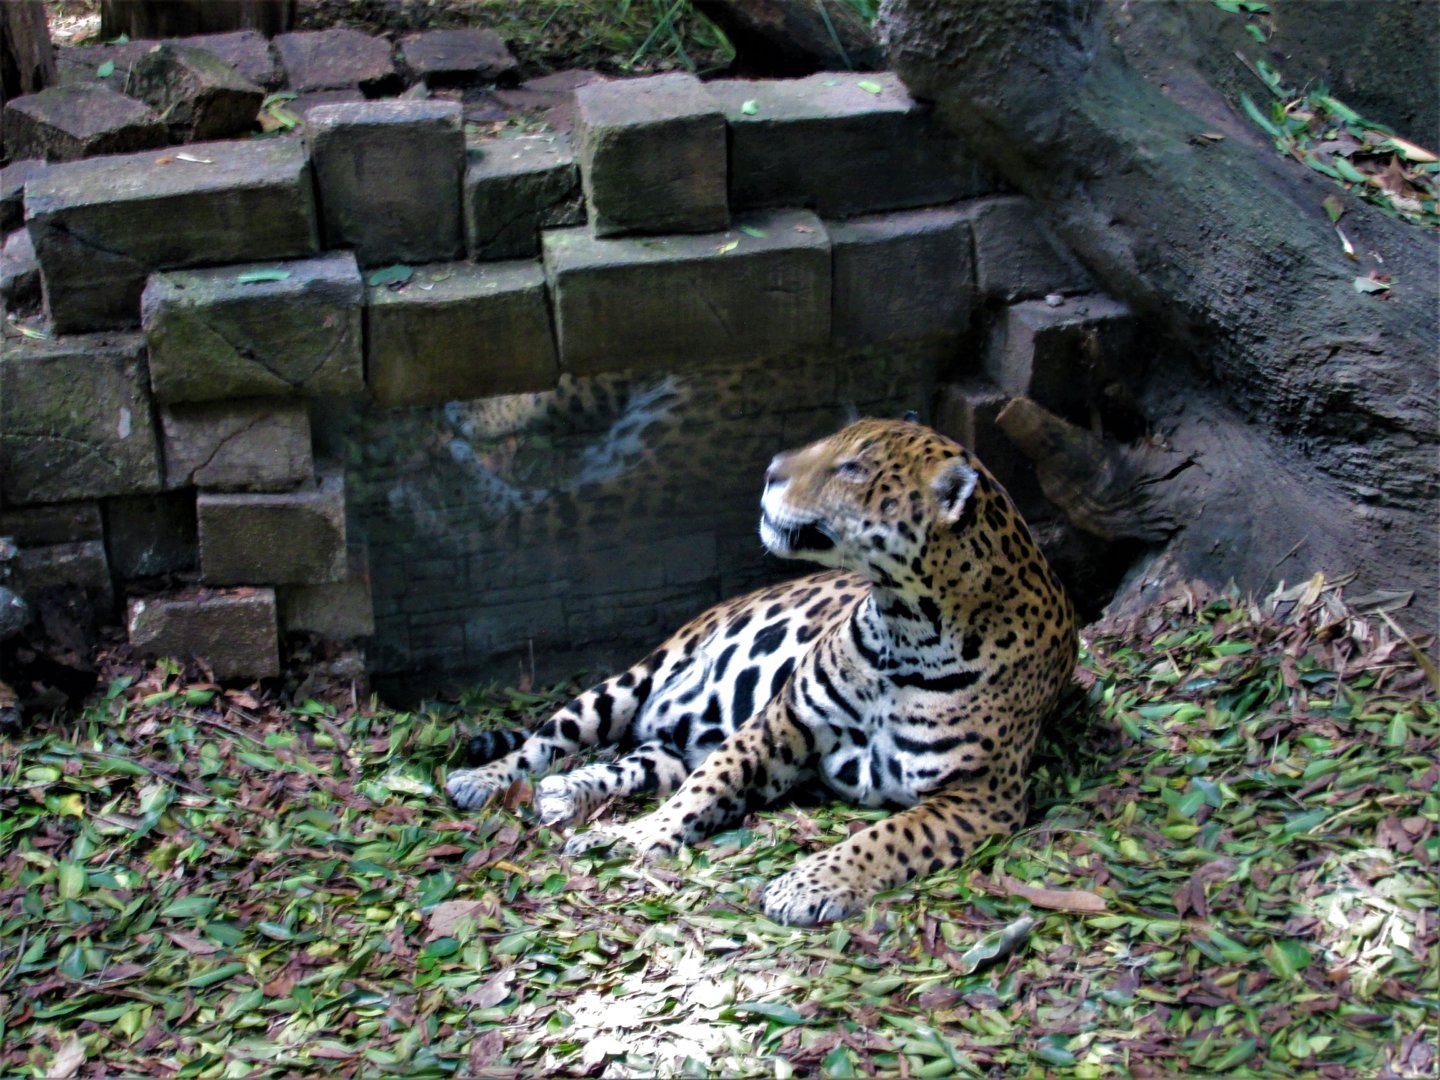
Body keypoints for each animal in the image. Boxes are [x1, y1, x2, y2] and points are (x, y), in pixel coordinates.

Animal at [445, 417, 1078, 925]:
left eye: (853, 468)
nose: (770, 471)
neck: (906, 627)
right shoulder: (780, 723)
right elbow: (709, 787)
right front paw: (644, 833)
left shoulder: (980, 794)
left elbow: (886, 837)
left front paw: (805, 884)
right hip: (630, 682)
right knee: (548, 740)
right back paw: (481, 780)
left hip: (670, 747)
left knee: (635, 764)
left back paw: (566, 795)